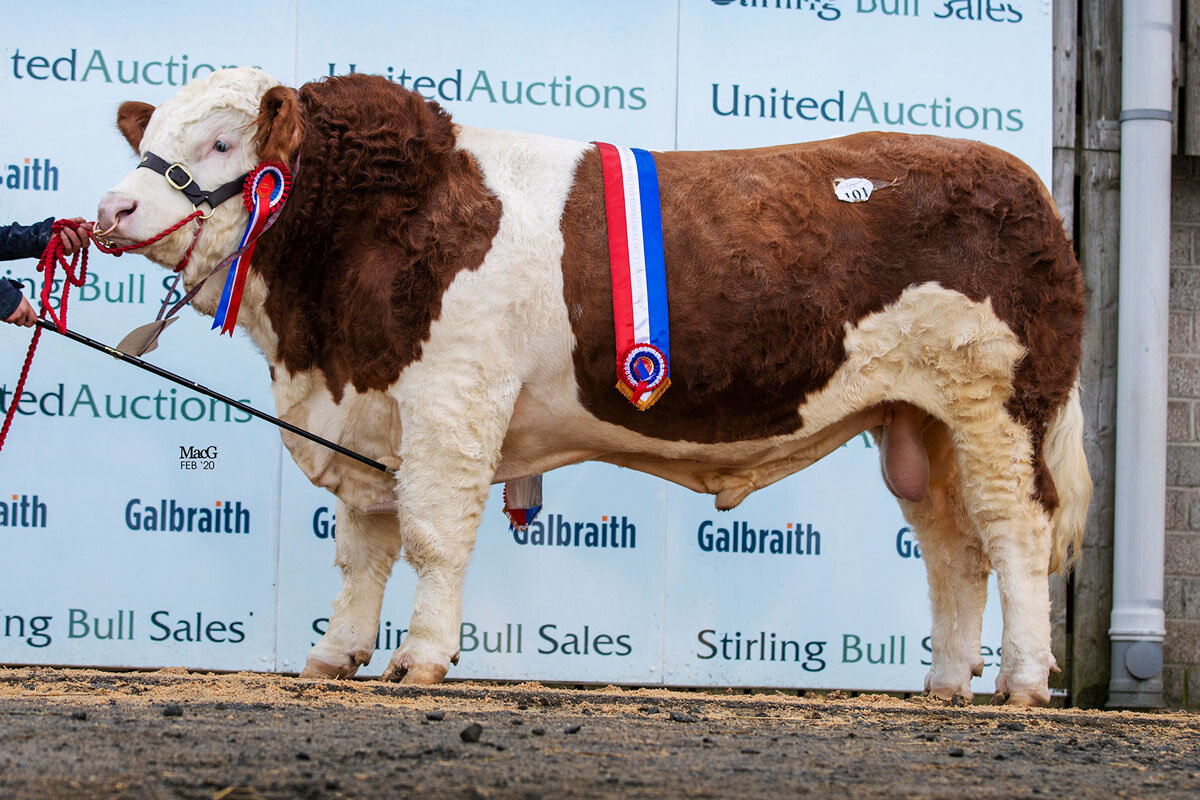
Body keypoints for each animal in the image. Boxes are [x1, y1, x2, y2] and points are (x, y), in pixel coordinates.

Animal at [96, 68, 1089, 705]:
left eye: (223, 142)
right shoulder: (370, 414)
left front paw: (421, 659)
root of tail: (1023, 181)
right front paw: (335, 654)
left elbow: (431, 536)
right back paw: (946, 683)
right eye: (150, 136)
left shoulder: (452, 398)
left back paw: (1022, 682)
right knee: (953, 549)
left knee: (1014, 532)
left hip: (998, 409)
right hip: (920, 424)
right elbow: (364, 548)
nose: (112, 209)